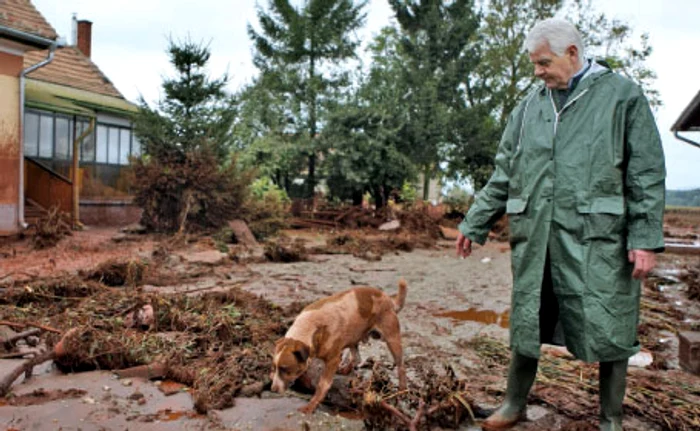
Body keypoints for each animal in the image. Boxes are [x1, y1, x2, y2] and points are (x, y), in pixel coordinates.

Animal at [270, 280, 408, 416]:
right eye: (274, 367)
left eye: (284, 368)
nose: (273, 389)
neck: (311, 329)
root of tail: (388, 299)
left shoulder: (333, 360)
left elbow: (323, 385)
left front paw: (311, 405)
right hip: (354, 337)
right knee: (357, 358)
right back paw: (346, 369)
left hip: (392, 338)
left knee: (401, 366)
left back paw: (402, 390)